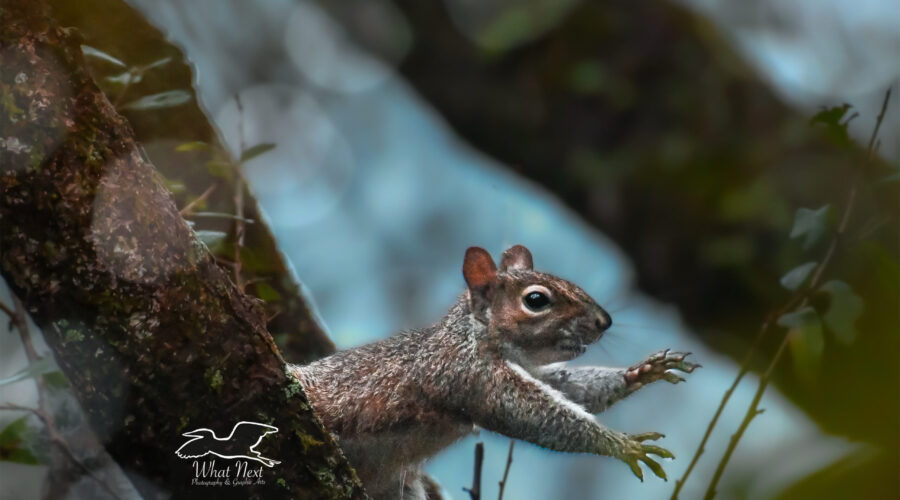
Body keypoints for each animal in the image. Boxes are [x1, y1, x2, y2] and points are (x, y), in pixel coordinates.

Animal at [289, 245, 699, 499]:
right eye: (536, 300)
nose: (604, 321)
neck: (473, 334)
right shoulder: (466, 373)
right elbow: (528, 413)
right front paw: (622, 445)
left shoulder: (529, 369)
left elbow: (571, 390)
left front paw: (641, 372)